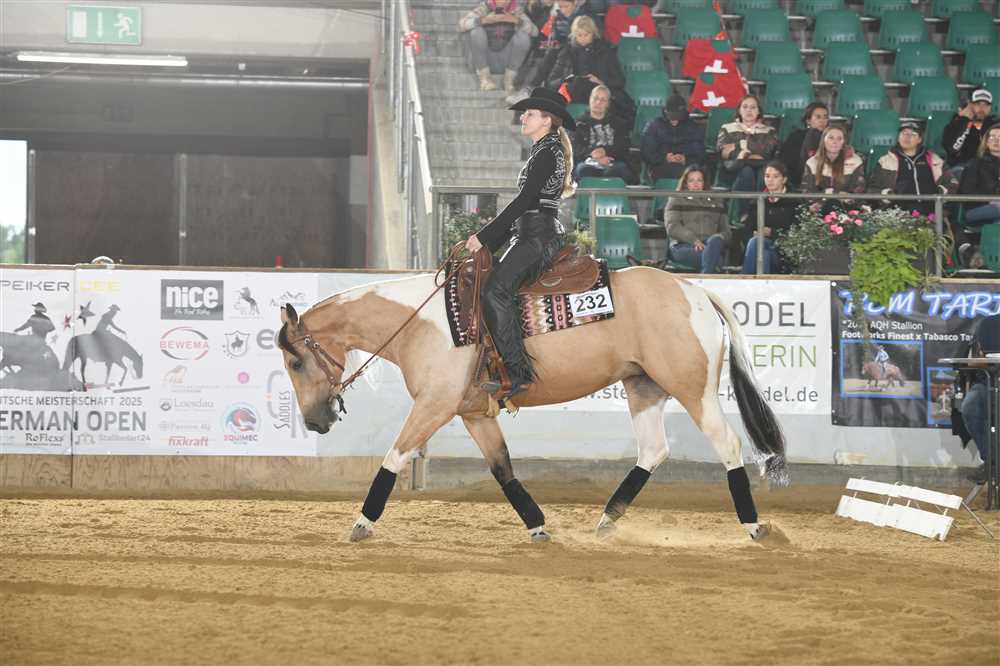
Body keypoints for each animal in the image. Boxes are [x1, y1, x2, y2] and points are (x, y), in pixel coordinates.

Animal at [277, 266, 787, 543]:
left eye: (296, 360)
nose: (314, 421)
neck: (422, 323)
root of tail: (696, 292)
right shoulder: (472, 412)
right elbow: (503, 469)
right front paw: (538, 527)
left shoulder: (435, 405)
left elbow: (393, 457)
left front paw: (362, 523)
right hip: (643, 387)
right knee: (653, 451)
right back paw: (606, 520)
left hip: (693, 389)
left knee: (728, 445)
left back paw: (756, 527)